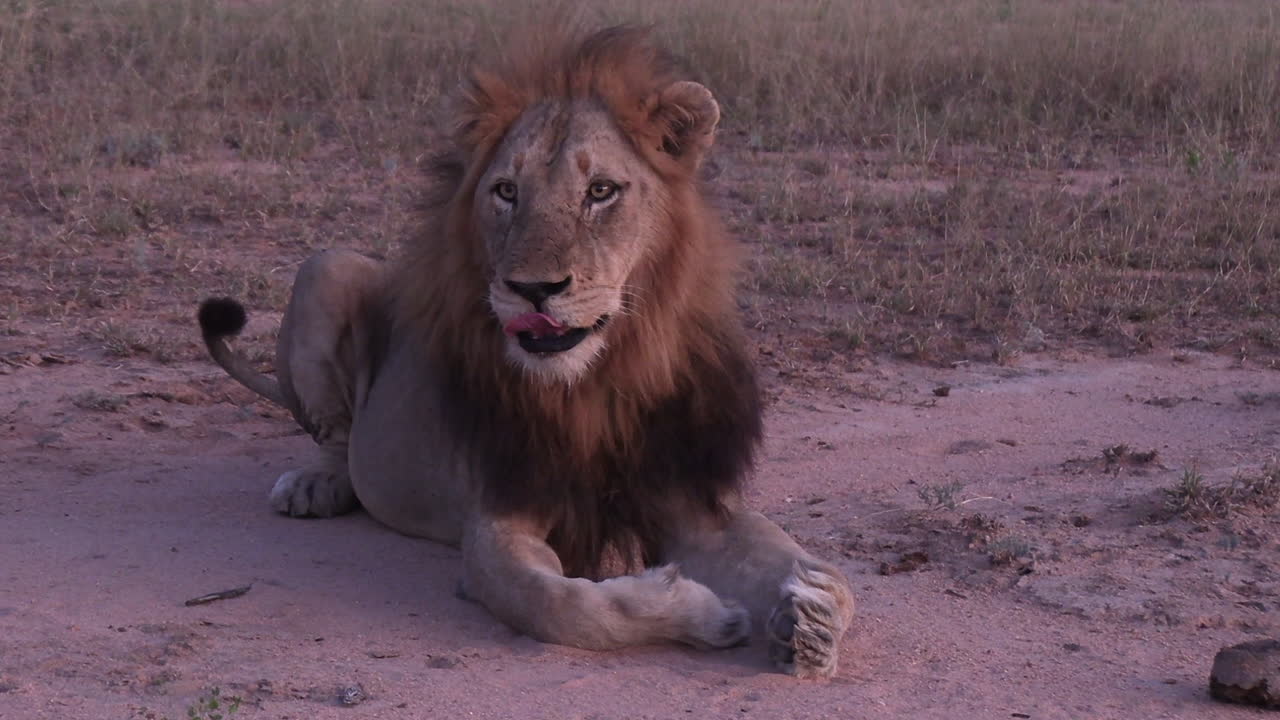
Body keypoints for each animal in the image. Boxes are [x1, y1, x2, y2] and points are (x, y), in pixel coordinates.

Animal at [197, 26, 854, 677]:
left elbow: (817, 569)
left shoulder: (688, 494)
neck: (596, 383)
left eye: (601, 191)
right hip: (326, 268)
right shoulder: (499, 515)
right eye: (507, 192)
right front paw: (705, 612)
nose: (533, 288)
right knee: (338, 437)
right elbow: (563, 606)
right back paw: (318, 484)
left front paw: (812, 614)